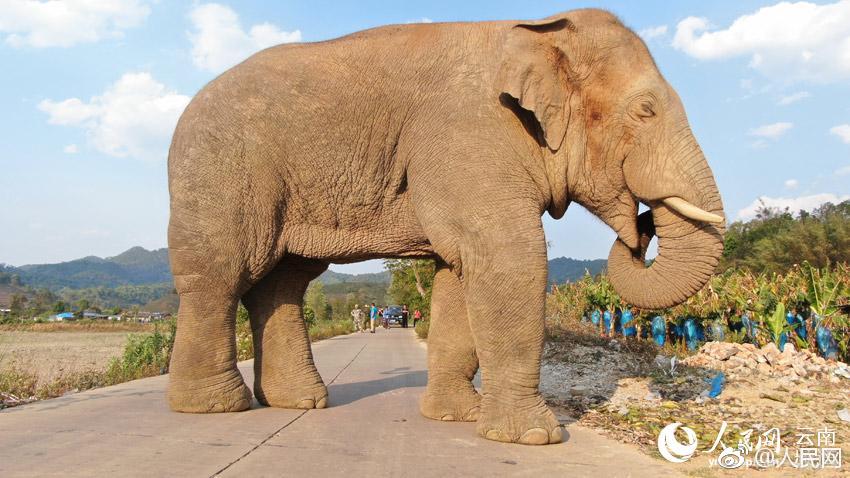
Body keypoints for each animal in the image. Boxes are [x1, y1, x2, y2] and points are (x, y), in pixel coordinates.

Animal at [164, 8, 724, 448]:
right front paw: (536, 437)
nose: (642, 227)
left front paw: (458, 418)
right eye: (646, 110)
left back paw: (297, 402)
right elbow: (509, 256)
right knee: (222, 275)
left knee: (282, 282)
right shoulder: (469, 135)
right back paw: (216, 407)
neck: (536, 29)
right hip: (220, 174)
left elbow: (459, 273)